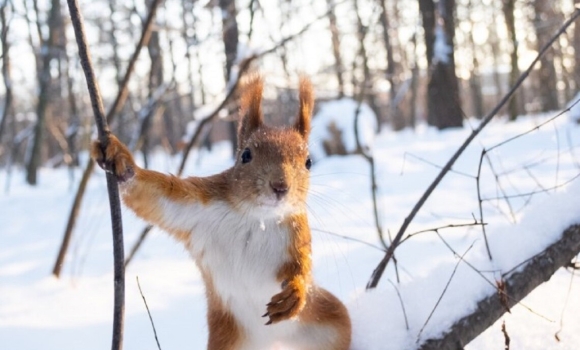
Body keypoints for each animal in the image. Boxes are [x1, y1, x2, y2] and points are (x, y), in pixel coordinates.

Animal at [93, 75, 352, 348]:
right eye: (246, 155)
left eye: (309, 162)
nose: (280, 187)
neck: (257, 217)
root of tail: (272, 341)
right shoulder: (197, 205)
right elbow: (152, 196)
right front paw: (120, 160)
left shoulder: (298, 233)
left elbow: (303, 266)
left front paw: (295, 293)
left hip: (331, 326)